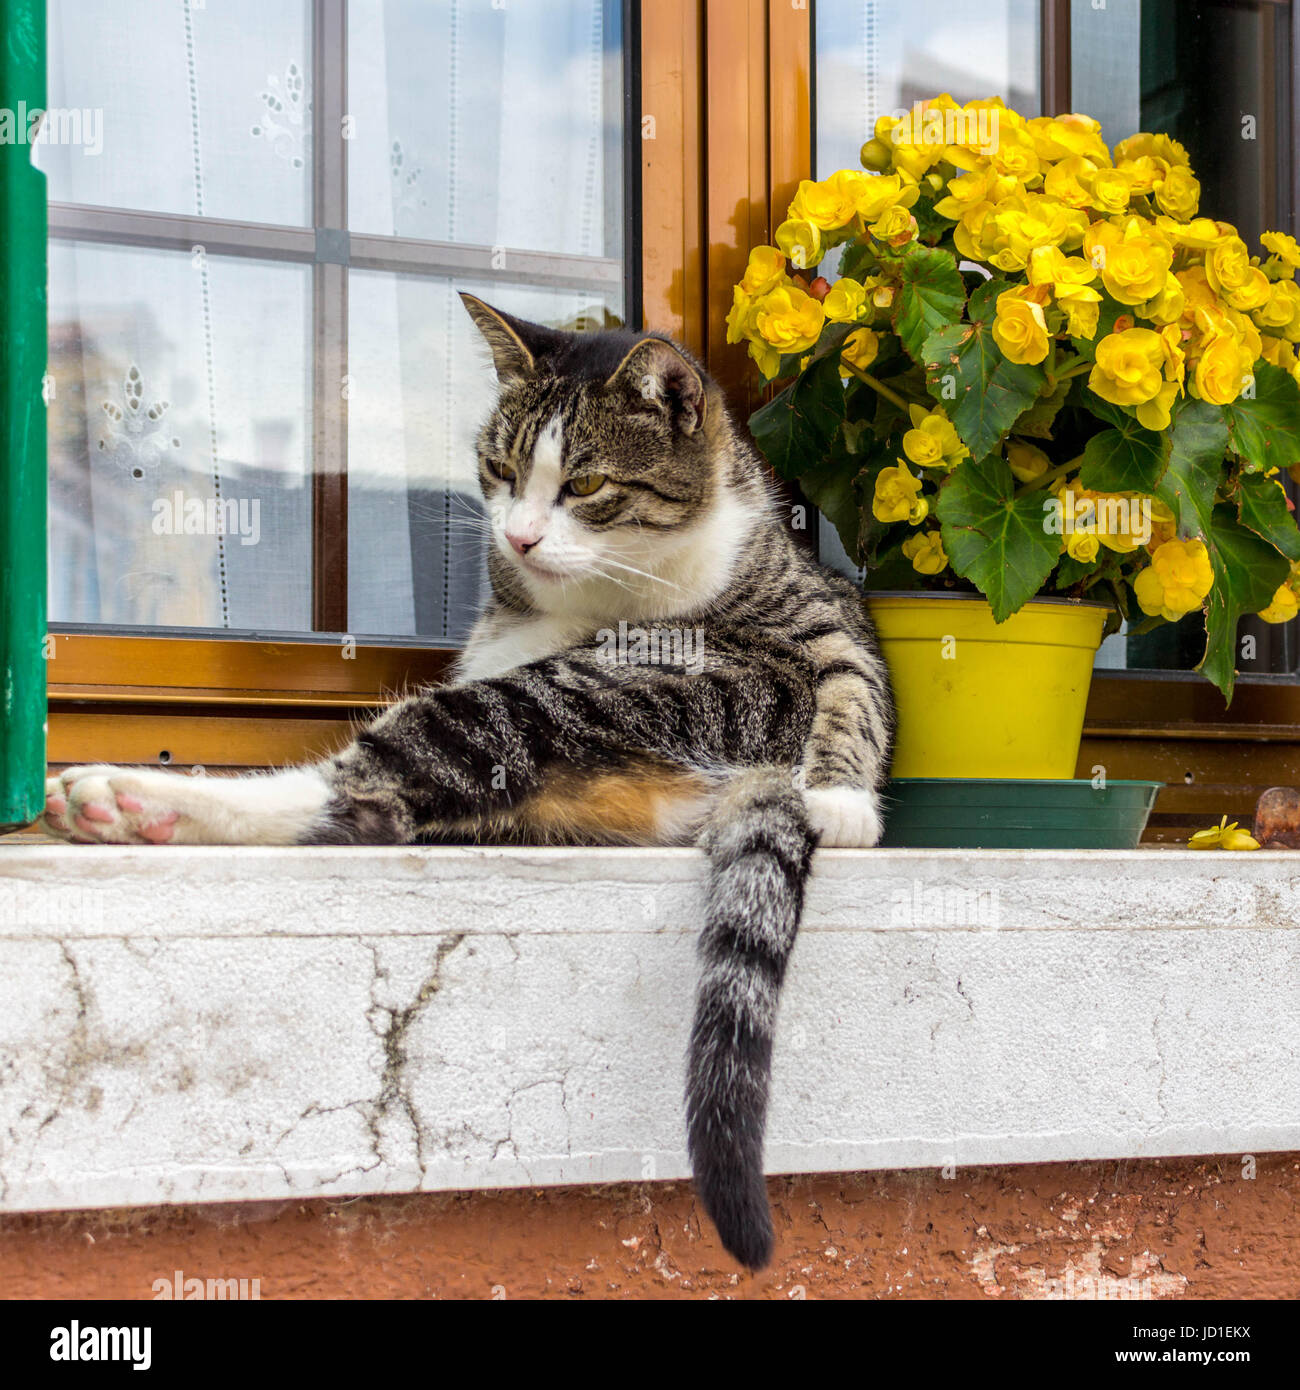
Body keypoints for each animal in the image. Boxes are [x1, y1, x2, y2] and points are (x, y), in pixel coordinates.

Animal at [40, 296, 895, 1273]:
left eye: (586, 484)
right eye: (500, 470)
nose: (517, 536)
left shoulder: (820, 624)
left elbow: (853, 687)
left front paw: (842, 794)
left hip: (552, 700)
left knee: (365, 792)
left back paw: (128, 801)